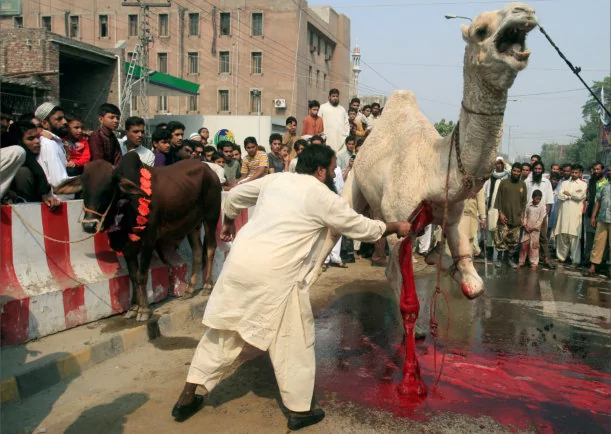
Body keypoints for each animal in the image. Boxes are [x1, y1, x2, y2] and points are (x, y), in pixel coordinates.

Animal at [54, 152, 222, 318]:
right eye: (83, 189)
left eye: (108, 189)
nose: (89, 225)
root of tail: (210, 170)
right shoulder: (128, 247)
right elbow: (133, 276)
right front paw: (134, 307)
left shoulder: (148, 241)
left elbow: (142, 275)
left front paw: (144, 309)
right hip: (192, 225)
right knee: (197, 252)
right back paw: (189, 289)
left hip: (211, 217)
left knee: (210, 248)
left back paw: (207, 286)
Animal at [320, 3, 540, 396]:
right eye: (481, 30)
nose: (524, 11)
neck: (436, 169)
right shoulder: (401, 223)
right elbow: (410, 298)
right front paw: (411, 380)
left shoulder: (450, 217)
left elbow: (473, 284)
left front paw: (459, 276)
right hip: (353, 186)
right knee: (336, 233)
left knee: (391, 266)